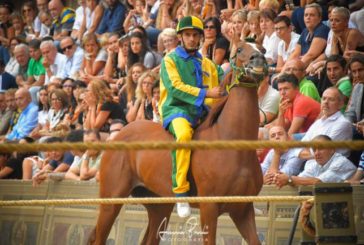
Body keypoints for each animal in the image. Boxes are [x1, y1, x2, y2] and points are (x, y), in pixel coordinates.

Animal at [89, 41, 264, 244]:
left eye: (263, 49)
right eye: (240, 49)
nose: (259, 59)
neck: (232, 145)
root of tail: (119, 134)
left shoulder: (243, 210)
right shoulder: (209, 208)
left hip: (159, 206)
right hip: (111, 201)